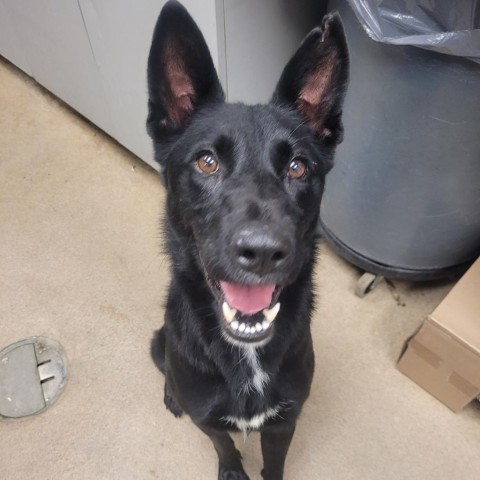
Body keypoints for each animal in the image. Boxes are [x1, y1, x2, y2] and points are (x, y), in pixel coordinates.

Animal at [146, 1, 348, 478]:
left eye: (298, 167)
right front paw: (232, 468)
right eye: (206, 162)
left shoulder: (284, 423)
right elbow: (224, 445)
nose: (262, 254)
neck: (248, 357)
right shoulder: (209, 420)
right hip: (160, 342)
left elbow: (273, 463)